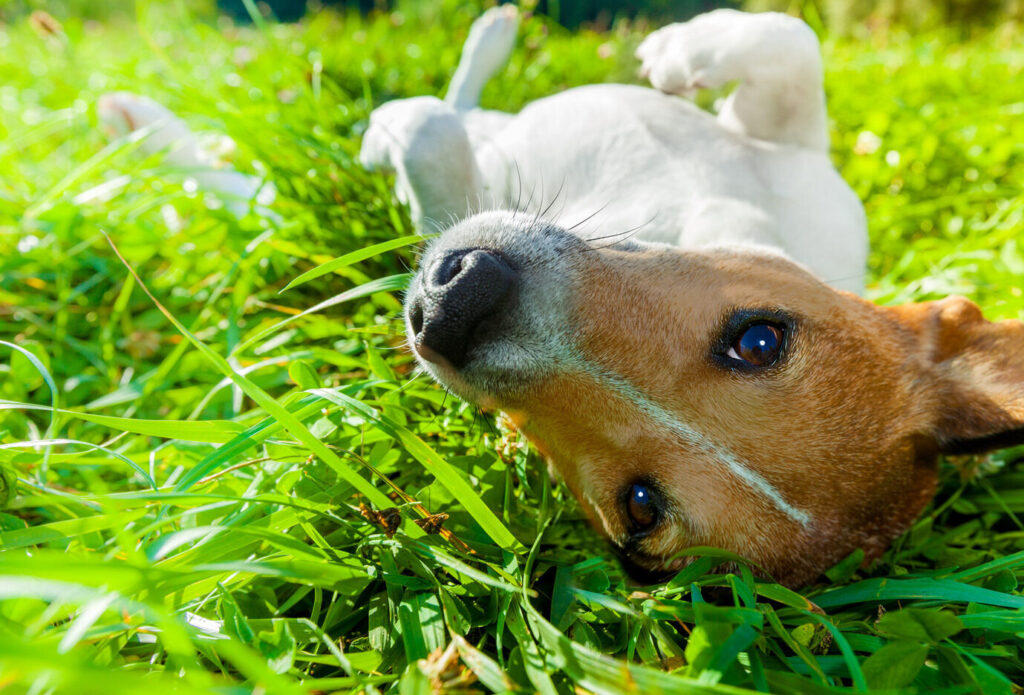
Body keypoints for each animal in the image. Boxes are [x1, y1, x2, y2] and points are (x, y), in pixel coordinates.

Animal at [368, 8, 1024, 585]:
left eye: (640, 506)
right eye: (760, 340)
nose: (456, 307)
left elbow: (431, 143)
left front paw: (402, 123)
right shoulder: (799, 156)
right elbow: (791, 39)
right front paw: (675, 54)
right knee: (469, 102)